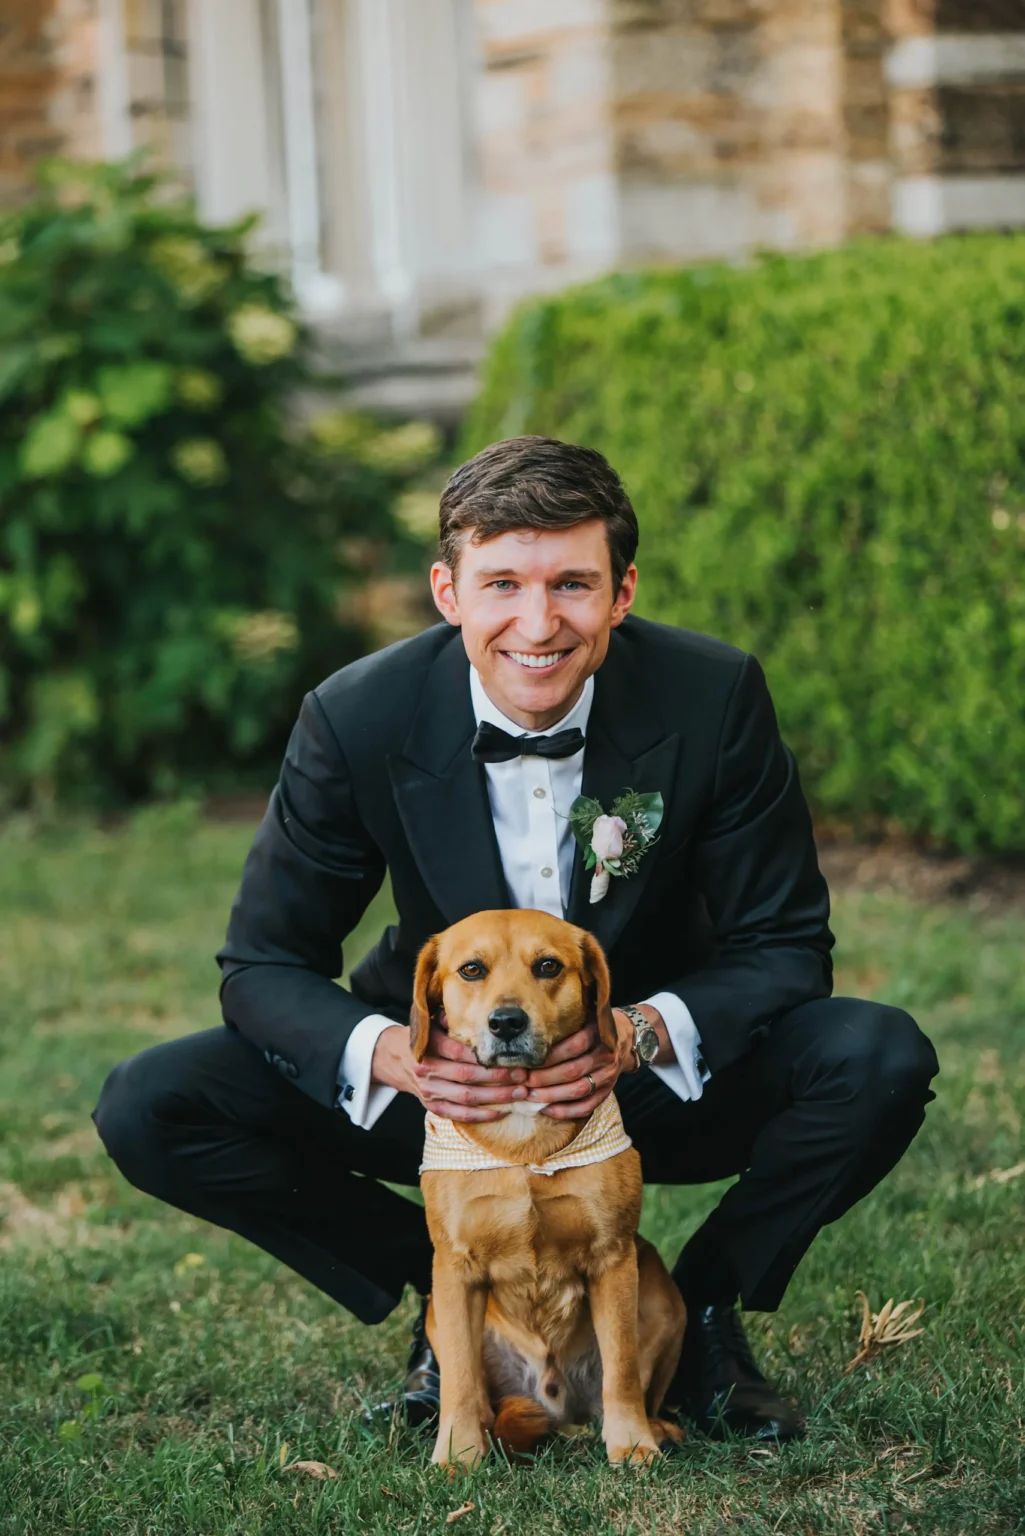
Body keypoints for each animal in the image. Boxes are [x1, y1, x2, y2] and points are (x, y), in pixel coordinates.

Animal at [411, 903, 688, 1468]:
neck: (522, 1139)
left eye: (547, 966)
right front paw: (457, 1455)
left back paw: (655, 1428)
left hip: (664, 1294)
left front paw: (633, 1444)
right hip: (436, 1311)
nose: (507, 1022)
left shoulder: (613, 1257)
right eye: (471, 969)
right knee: (482, 1395)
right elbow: (460, 1381)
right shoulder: (453, 1269)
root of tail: (559, 1409)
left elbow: (623, 1371)